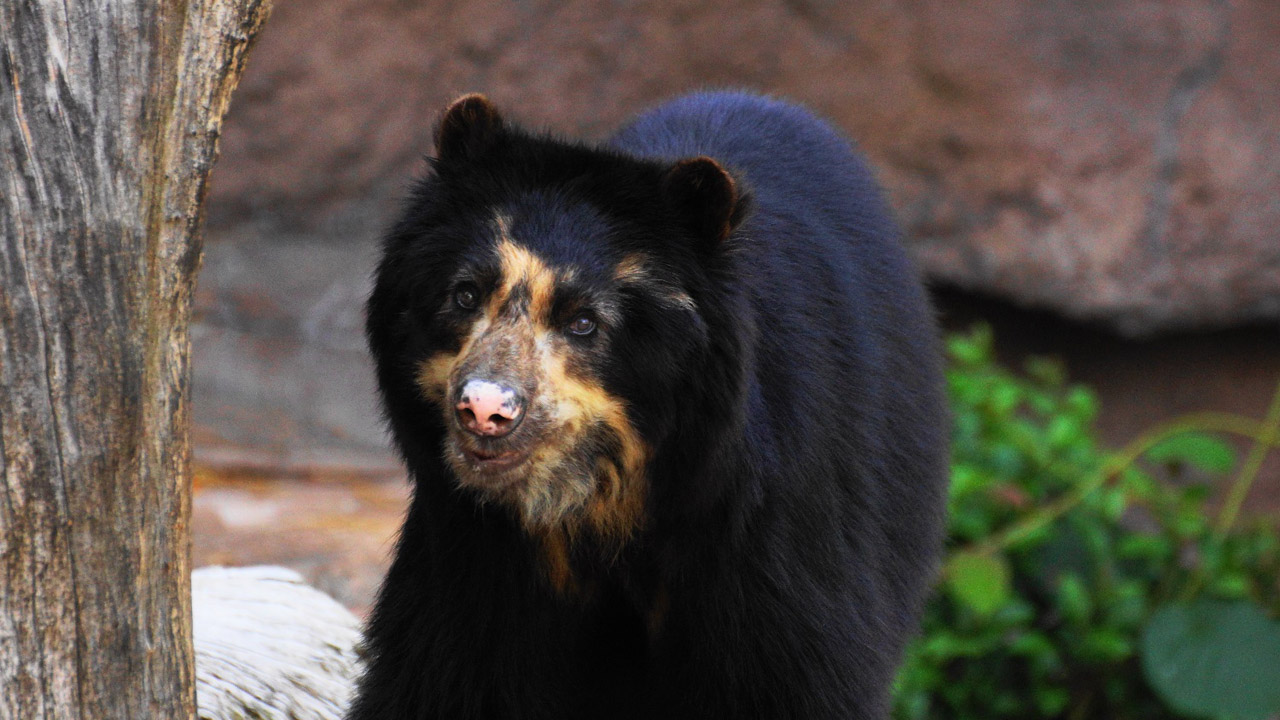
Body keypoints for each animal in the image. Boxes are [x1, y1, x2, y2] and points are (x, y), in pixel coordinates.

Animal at [350, 89, 952, 717]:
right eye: (465, 295)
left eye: (584, 322)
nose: (485, 410)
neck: (602, 503)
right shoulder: (473, 550)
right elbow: (448, 676)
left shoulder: (768, 529)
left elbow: (789, 678)